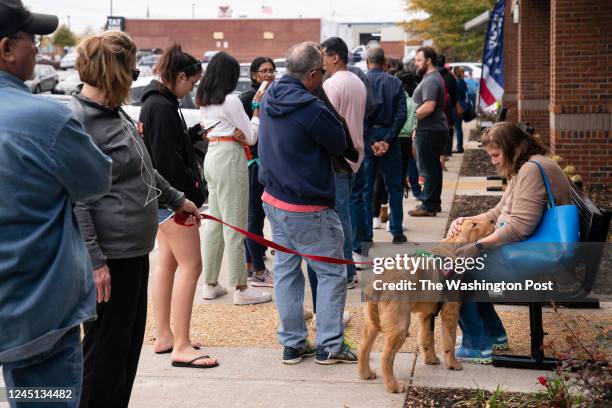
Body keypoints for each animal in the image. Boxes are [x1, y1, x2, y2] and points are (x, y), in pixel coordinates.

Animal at [356, 218, 494, 394]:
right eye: (474, 225)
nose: (493, 219)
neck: (451, 249)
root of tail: (377, 282)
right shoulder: (450, 311)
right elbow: (449, 342)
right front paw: (453, 364)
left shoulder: (426, 315)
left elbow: (426, 338)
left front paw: (431, 359)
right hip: (400, 325)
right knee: (386, 357)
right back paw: (394, 386)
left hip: (371, 323)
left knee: (363, 348)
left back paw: (366, 374)